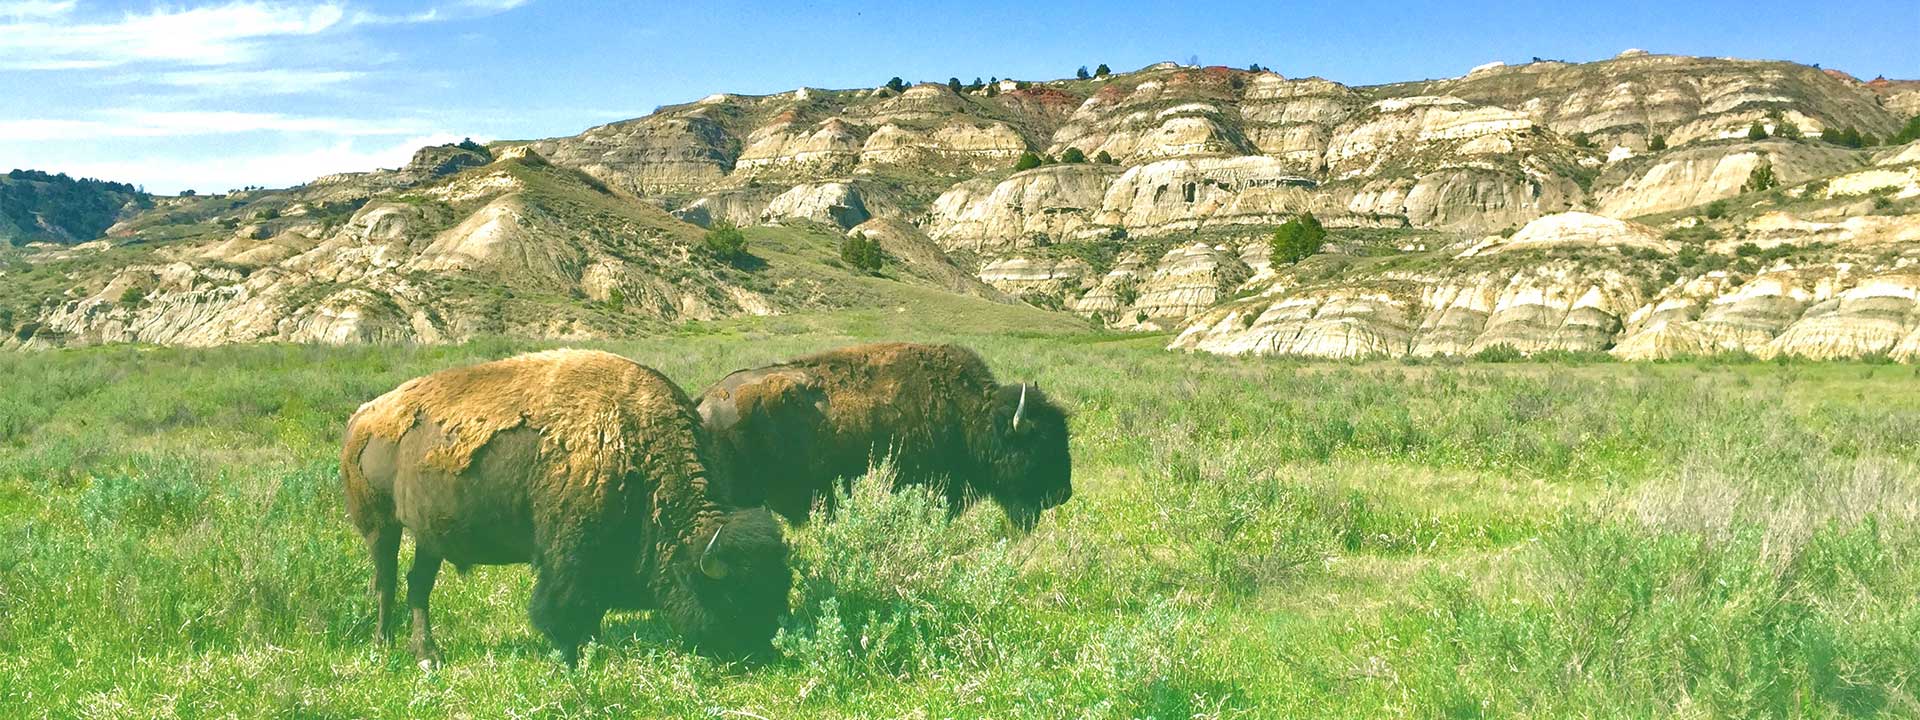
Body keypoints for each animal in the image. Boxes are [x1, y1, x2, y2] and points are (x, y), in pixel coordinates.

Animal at [341, 349, 791, 664]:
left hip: (429, 536)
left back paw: (427, 655)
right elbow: (563, 604)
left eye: (778, 586)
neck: (637, 444)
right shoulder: (569, 549)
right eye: (732, 596)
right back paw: (384, 646)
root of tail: (362, 416)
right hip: (380, 526)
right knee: (386, 581)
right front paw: (571, 653)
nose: (759, 652)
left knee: (418, 584)